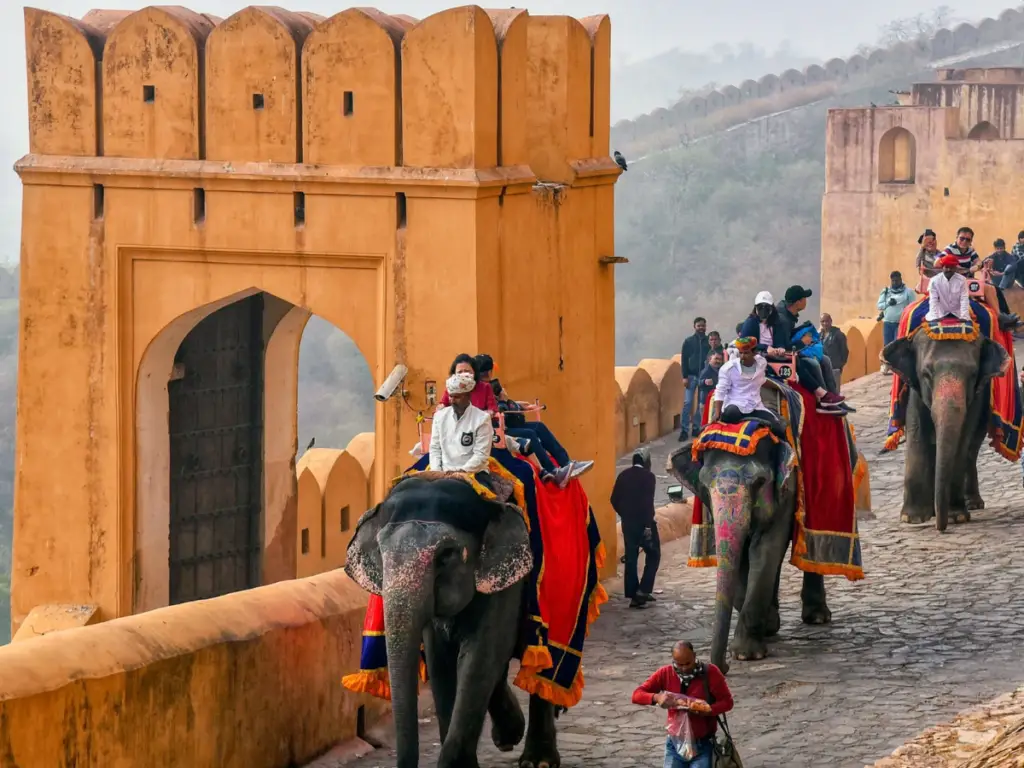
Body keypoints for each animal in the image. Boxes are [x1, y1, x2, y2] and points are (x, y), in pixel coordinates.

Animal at [348, 475, 565, 768]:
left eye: (446, 555)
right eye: (381, 554)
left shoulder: (506, 583)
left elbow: (479, 657)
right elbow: (441, 660)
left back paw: (538, 761)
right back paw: (508, 736)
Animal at [663, 436, 831, 675]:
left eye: (760, 482)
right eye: (703, 484)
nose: (723, 668)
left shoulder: (787, 490)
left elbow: (766, 549)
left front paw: (746, 654)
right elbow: (741, 556)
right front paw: (764, 628)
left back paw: (816, 617)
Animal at [876, 327, 1011, 532]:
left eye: (973, 374)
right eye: (926, 374)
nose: (940, 528)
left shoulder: (976, 397)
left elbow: (963, 436)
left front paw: (957, 517)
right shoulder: (915, 390)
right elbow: (917, 431)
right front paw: (912, 518)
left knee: (972, 449)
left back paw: (972, 504)